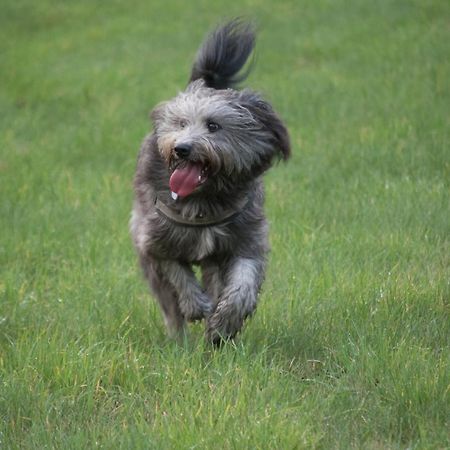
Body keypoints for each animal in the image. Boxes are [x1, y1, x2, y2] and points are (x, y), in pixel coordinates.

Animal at [130, 18, 292, 344]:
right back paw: (178, 339)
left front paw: (223, 324)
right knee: (167, 302)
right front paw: (196, 305)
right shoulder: (153, 236)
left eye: (213, 126)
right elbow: (176, 271)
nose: (182, 148)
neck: (203, 200)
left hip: (214, 259)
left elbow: (243, 282)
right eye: (181, 124)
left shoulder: (244, 238)